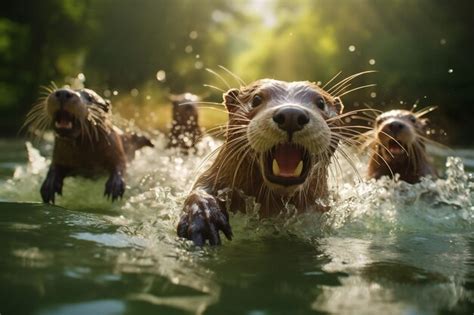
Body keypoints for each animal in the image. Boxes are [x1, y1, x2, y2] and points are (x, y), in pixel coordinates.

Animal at [23, 87, 153, 204]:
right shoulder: (59, 154)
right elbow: (54, 167)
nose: (63, 93)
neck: (86, 157)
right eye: (59, 89)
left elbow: (120, 165)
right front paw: (49, 185)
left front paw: (115, 185)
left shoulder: (115, 148)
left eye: (90, 98)